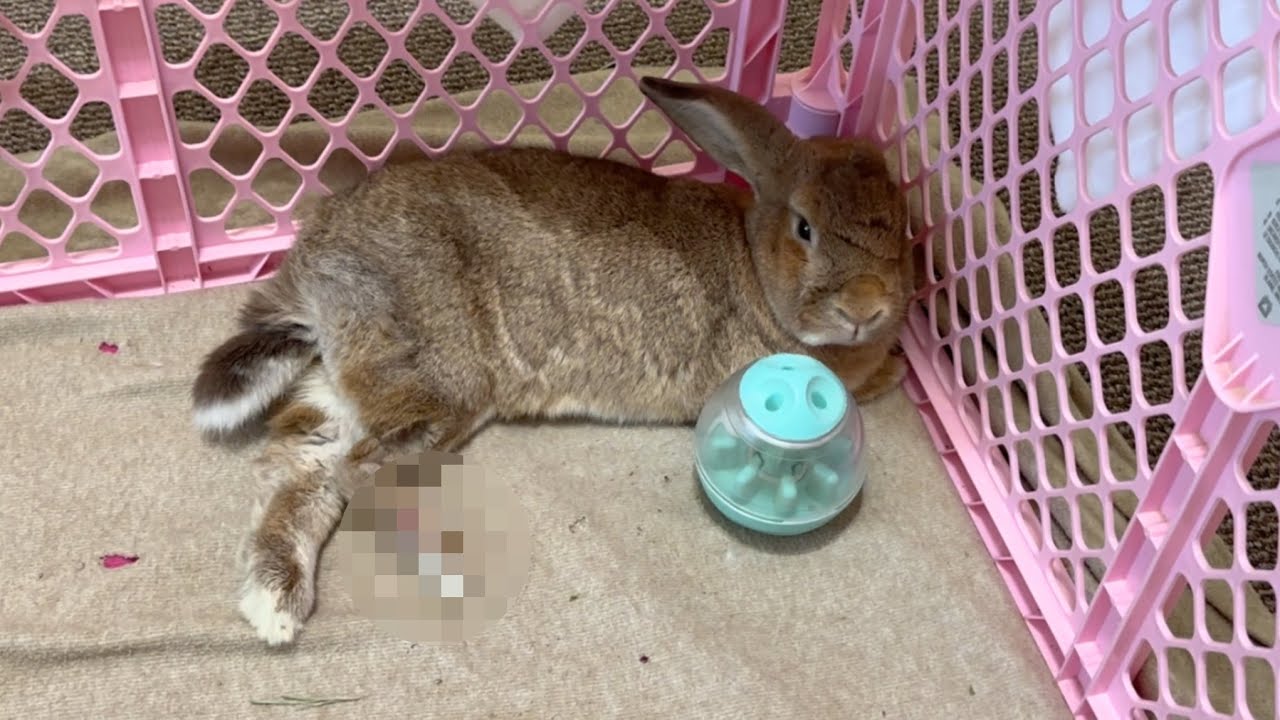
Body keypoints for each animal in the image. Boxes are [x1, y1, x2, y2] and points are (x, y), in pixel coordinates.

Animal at [191, 76, 912, 646]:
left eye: (905, 224)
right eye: (804, 228)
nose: (867, 308)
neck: (754, 265)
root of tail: (313, 268)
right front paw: (895, 371)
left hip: (347, 383)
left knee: (299, 465)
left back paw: (274, 603)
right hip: (435, 388)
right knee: (356, 471)